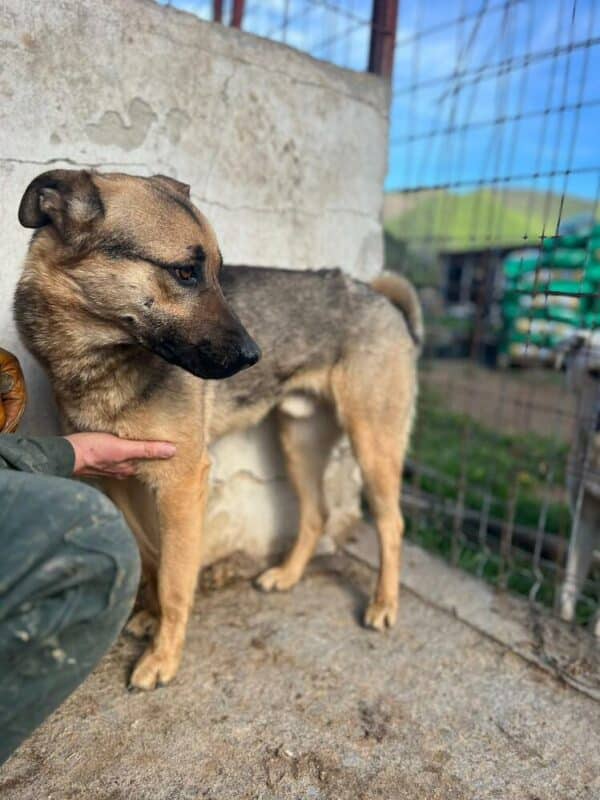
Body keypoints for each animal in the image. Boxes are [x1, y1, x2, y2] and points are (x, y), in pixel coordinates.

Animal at [14, 167, 422, 688]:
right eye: (185, 272)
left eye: (218, 272)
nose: (254, 357)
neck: (98, 357)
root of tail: (379, 297)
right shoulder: (121, 479)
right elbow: (152, 554)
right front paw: (149, 618)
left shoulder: (183, 482)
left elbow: (175, 578)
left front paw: (162, 657)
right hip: (299, 441)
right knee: (315, 513)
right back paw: (286, 576)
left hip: (372, 442)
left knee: (392, 523)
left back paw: (383, 604)